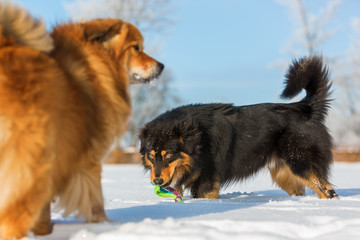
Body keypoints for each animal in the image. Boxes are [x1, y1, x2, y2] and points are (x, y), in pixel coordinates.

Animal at [0, 2, 163, 240]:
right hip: (31, 166)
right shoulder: (88, 161)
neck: (97, 65)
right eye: (136, 47)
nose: (160, 66)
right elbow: (95, 202)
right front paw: (102, 226)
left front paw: (44, 231)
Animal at [139, 56, 338, 199]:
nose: (157, 180)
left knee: (327, 191)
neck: (197, 140)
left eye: (169, 155)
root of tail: (307, 108)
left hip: (300, 162)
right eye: (151, 156)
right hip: (284, 174)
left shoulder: (206, 183)